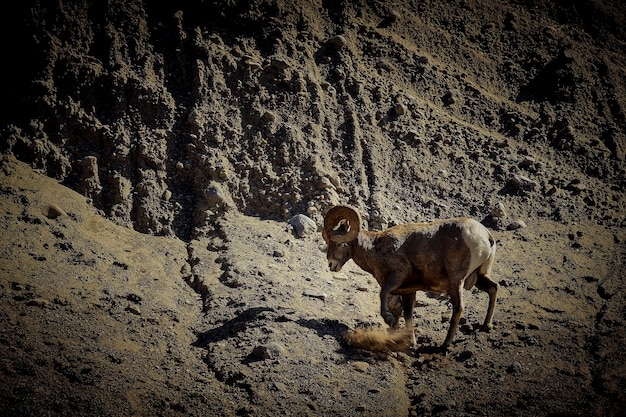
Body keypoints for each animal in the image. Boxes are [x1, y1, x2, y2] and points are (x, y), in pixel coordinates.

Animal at [322, 204, 498, 348]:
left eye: (337, 242)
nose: (330, 264)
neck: (375, 248)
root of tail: (486, 236)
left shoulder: (399, 274)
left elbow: (383, 295)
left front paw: (388, 319)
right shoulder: (408, 291)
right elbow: (407, 315)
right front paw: (409, 342)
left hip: (456, 281)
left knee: (459, 307)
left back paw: (445, 345)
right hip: (479, 277)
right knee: (493, 288)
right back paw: (486, 326)